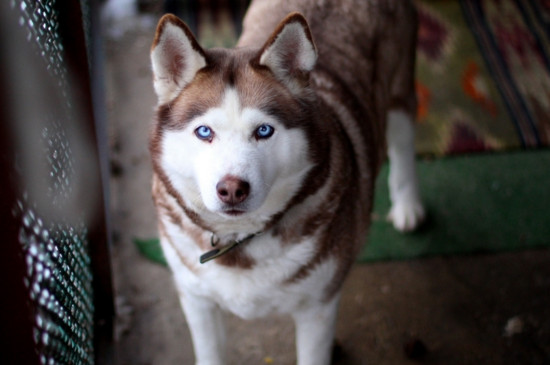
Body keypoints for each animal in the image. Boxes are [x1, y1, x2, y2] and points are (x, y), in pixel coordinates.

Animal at [149, 1, 424, 362]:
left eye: (264, 130)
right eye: (204, 131)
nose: (232, 190)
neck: (240, 243)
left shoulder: (318, 306)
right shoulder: (196, 299)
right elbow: (210, 352)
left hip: (400, 89)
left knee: (403, 141)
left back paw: (408, 205)